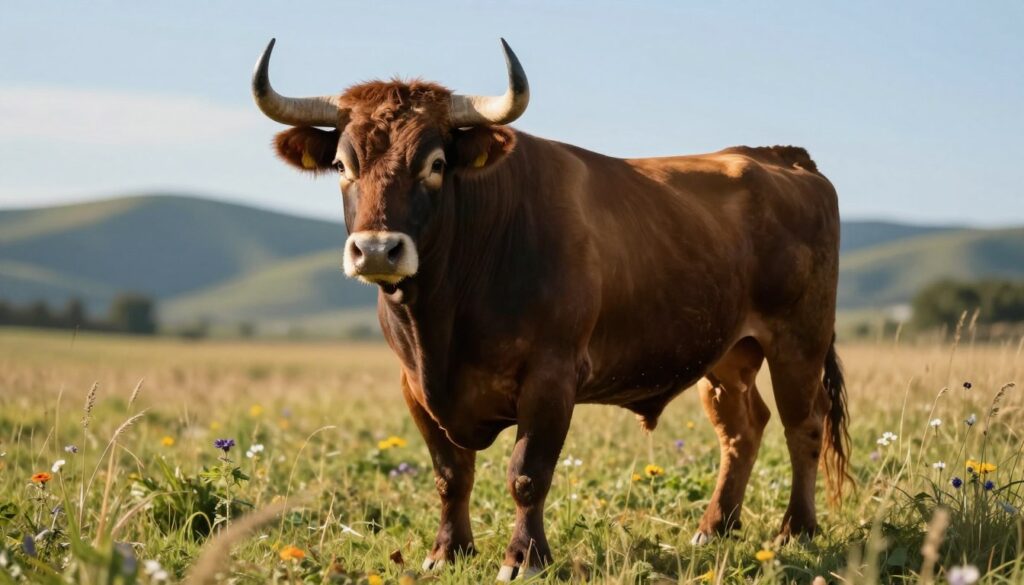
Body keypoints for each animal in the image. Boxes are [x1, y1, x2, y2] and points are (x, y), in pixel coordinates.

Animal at [252, 38, 850, 581]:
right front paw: (447, 552)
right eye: (341, 164)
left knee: (803, 424)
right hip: (726, 355)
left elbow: (527, 474)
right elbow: (450, 475)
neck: (442, 316)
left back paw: (796, 530)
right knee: (743, 429)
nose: (377, 250)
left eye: (436, 163)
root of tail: (778, 156)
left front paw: (524, 558)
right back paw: (714, 528)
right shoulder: (414, 386)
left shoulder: (552, 377)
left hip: (799, 340)